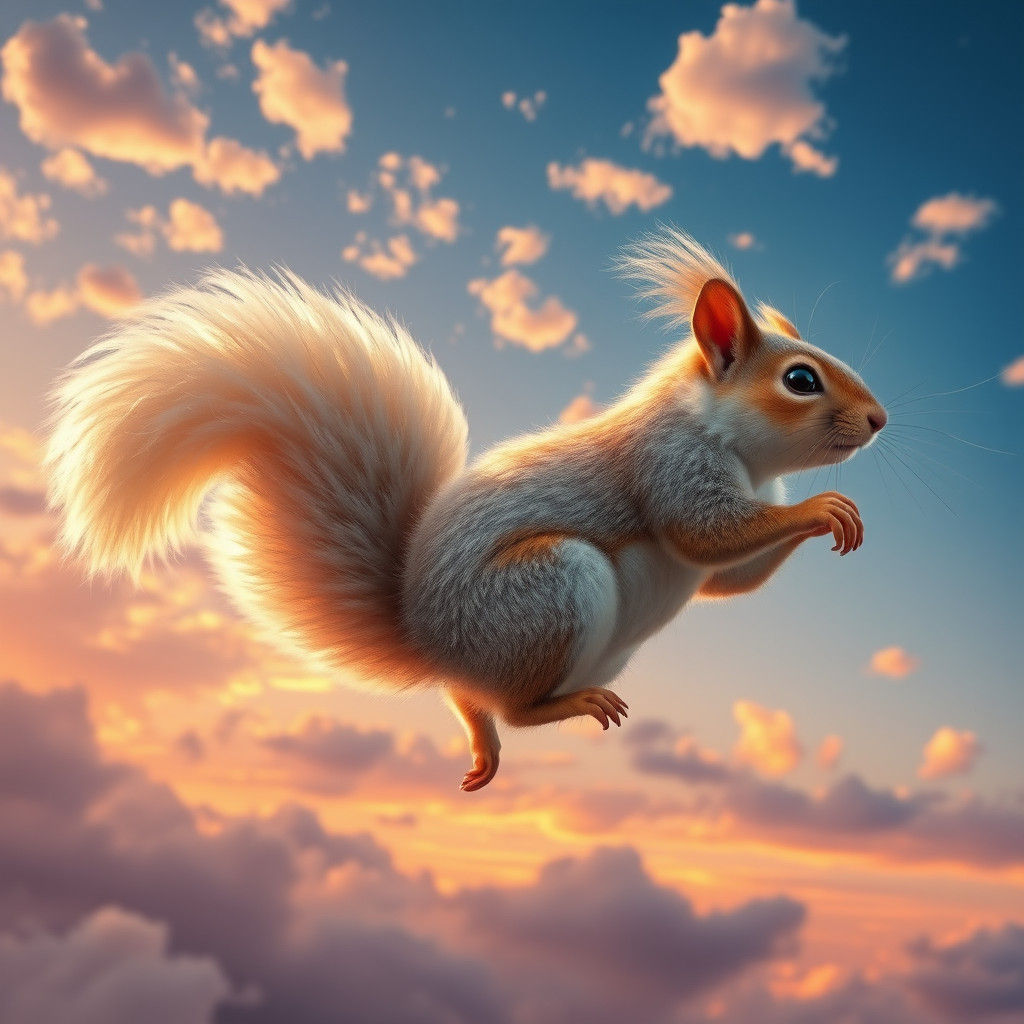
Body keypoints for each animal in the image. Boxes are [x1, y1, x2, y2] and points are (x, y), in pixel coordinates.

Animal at [45, 228, 886, 792]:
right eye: (801, 379)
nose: (880, 420)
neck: (739, 448)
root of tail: (431, 641)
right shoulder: (669, 465)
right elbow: (704, 533)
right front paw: (826, 506)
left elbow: (728, 580)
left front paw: (832, 514)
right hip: (551, 586)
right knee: (516, 706)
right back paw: (560, 706)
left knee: (471, 701)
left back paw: (481, 743)